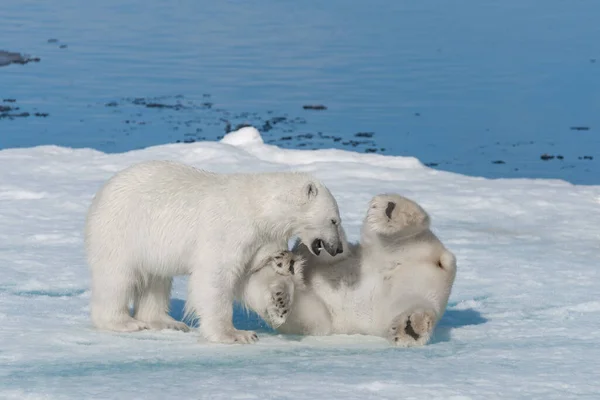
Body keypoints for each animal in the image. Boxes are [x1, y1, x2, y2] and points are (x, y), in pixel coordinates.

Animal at [84, 160, 342, 344]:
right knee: (117, 277)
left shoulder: (260, 240)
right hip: (122, 230)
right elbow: (216, 276)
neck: (259, 208)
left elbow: (252, 276)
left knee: (157, 280)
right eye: (334, 220)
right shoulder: (228, 230)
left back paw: (166, 322)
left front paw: (280, 302)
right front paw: (235, 334)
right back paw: (123, 322)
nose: (337, 247)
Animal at [241, 194, 458, 346]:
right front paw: (280, 296)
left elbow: (328, 251)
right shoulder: (318, 315)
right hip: (405, 293)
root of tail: (441, 261)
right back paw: (411, 327)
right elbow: (309, 317)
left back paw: (389, 209)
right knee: (413, 304)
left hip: (394, 250)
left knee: (395, 235)